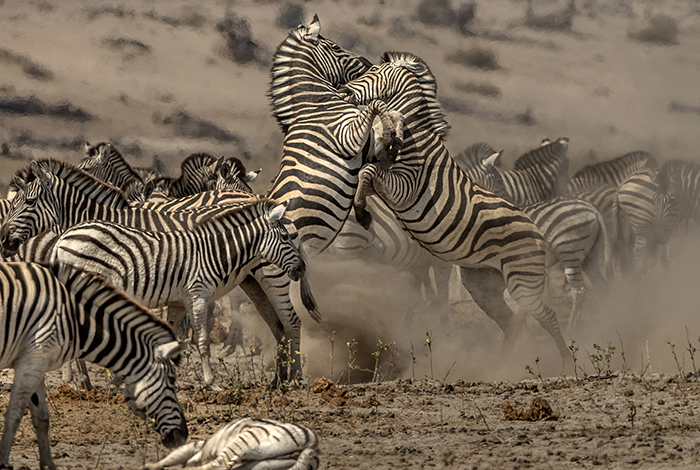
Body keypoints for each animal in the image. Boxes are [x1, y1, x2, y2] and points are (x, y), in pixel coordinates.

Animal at [0, 261, 188, 470]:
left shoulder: (37, 361)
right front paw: (4, 463)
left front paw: (48, 465)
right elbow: (13, 416)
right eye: (172, 380)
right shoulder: (32, 360)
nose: (183, 436)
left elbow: (41, 418)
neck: (75, 318)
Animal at [50, 199, 305, 387]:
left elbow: (171, 338)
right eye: (285, 238)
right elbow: (202, 341)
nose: (302, 268)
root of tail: (64, 236)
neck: (213, 252)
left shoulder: (177, 302)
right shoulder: (197, 295)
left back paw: (83, 381)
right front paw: (210, 382)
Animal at [144, 418, 319, 470]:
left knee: (218, 464)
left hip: (245, 441)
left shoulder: (195, 446)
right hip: (262, 465)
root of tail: (313, 445)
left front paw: (148, 466)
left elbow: (169, 458)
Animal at [345, 51, 570, 362]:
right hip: (482, 283)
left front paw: (360, 210)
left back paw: (566, 361)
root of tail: (537, 232)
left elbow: (368, 171)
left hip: (523, 280)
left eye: (374, 73)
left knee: (546, 316)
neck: (414, 140)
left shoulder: (406, 187)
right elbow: (365, 170)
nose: (344, 91)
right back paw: (499, 365)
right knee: (510, 320)